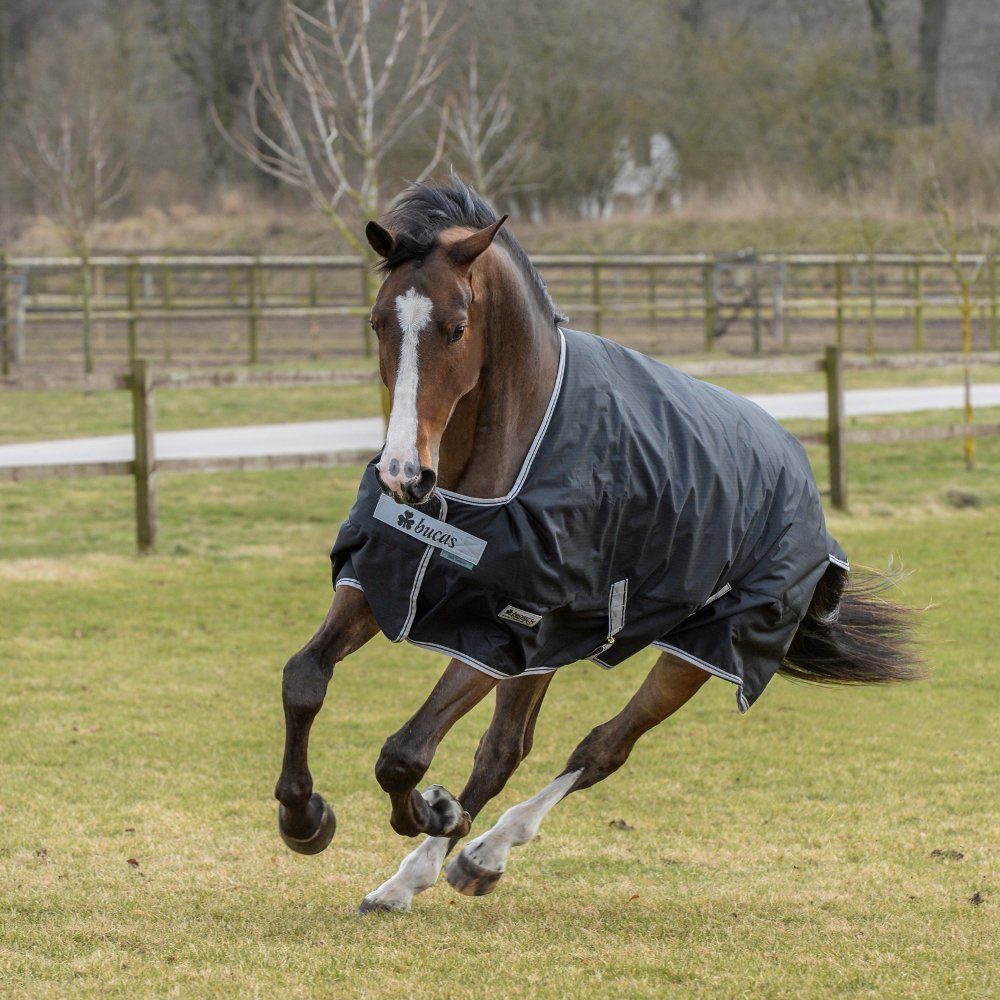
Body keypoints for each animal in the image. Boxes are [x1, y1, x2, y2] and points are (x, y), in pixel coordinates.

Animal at [273, 177, 919, 914]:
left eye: (456, 328)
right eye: (378, 322)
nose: (403, 476)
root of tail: (799, 470)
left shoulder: (502, 629)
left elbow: (403, 754)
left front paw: (430, 811)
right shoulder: (388, 580)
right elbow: (304, 679)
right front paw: (304, 819)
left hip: (701, 650)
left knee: (600, 748)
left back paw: (475, 853)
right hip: (558, 648)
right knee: (506, 749)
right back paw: (427, 871)